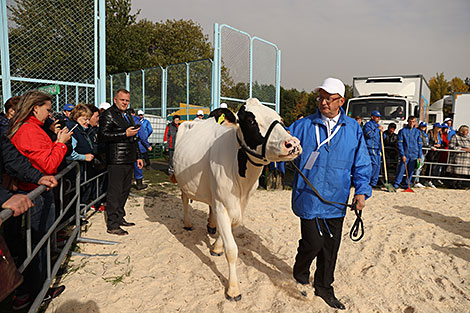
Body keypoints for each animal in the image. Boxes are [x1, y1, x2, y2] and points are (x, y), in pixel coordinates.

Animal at [173, 97, 302, 300]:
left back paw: (211, 224)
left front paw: (216, 246)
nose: (292, 143)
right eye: (250, 120)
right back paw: (187, 222)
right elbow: (232, 250)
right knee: (185, 198)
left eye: (279, 118)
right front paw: (233, 289)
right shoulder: (222, 204)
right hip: (183, 180)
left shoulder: (239, 203)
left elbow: (232, 226)